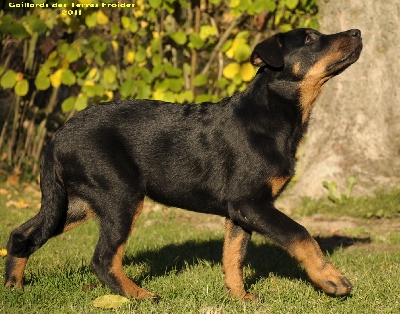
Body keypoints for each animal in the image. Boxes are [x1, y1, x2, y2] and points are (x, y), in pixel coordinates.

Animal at [4, 28, 364, 300]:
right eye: (310, 38)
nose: (357, 32)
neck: (275, 115)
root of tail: (57, 137)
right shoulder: (251, 203)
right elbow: (300, 234)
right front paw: (332, 280)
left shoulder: (240, 211)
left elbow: (233, 255)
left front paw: (239, 297)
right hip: (120, 195)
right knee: (103, 259)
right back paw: (141, 296)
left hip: (76, 201)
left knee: (22, 234)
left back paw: (14, 287)